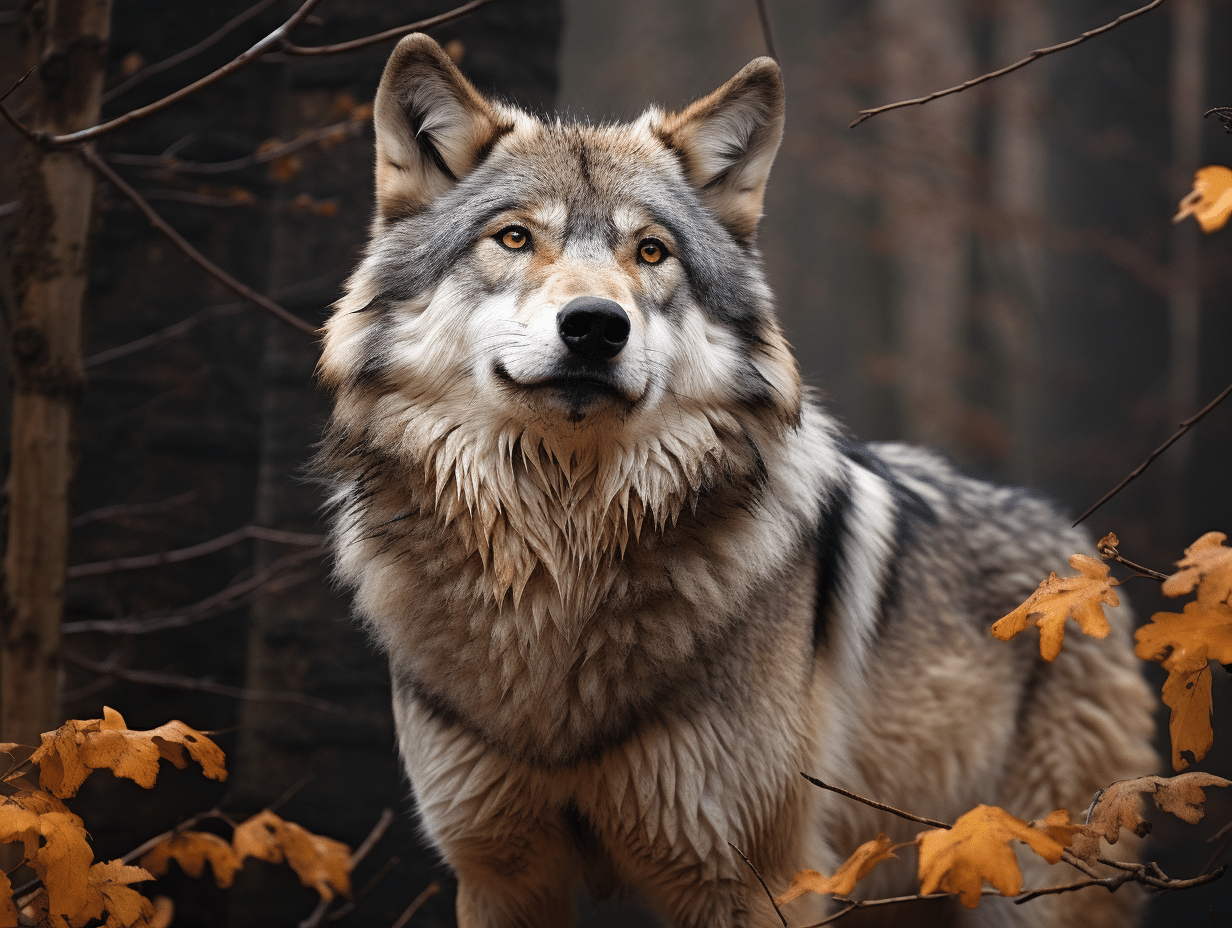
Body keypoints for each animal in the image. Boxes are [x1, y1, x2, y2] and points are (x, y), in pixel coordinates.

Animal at [317, 34, 1156, 928]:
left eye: (651, 252)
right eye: (513, 238)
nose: (595, 327)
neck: (562, 560)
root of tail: (1074, 545)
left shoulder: (748, 878)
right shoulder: (500, 876)